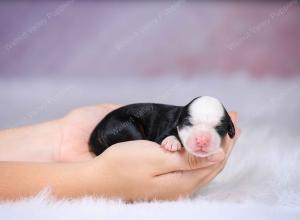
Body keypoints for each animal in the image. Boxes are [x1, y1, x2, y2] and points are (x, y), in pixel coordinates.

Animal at [89, 96, 234, 156]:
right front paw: (172, 142)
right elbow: (168, 135)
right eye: (188, 123)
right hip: (125, 126)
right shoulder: (166, 129)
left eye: (219, 128)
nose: (202, 140)